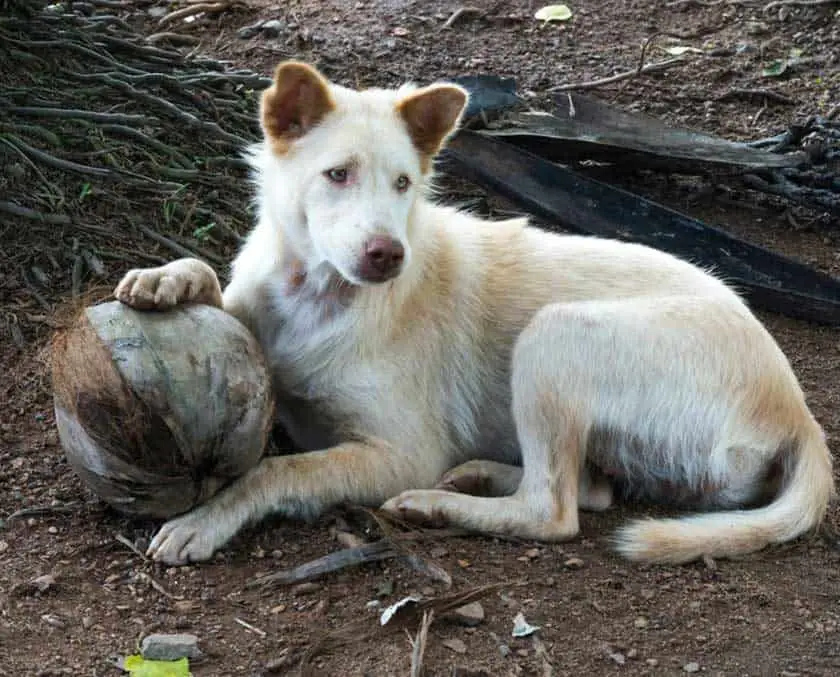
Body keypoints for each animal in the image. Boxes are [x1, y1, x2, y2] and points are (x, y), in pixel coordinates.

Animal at [113, 59, 832, 564]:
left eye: (404, 183)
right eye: (337, 174)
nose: (387, 255)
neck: (315, 296)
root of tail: (797, 413)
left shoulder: (400, 451)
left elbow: (275, 467)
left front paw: (204, 519)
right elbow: (213, 279)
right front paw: (165, 280)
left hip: (554, 335)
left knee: (554, 511)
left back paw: (438, 503)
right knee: (591, 490)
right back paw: (480, 475)